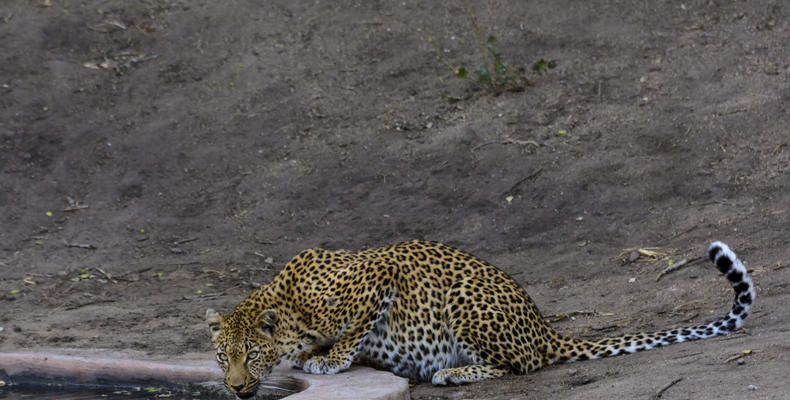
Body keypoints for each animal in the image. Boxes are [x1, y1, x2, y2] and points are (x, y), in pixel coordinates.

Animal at [206, 239, 756, 398]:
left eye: (250, 355)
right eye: (220, 358)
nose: (233, 387)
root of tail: (544, 327)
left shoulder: (380, 272)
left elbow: (354, 329)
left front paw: (330, 359)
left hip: (464, 300)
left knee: (518, 364)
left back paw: (450, 372)